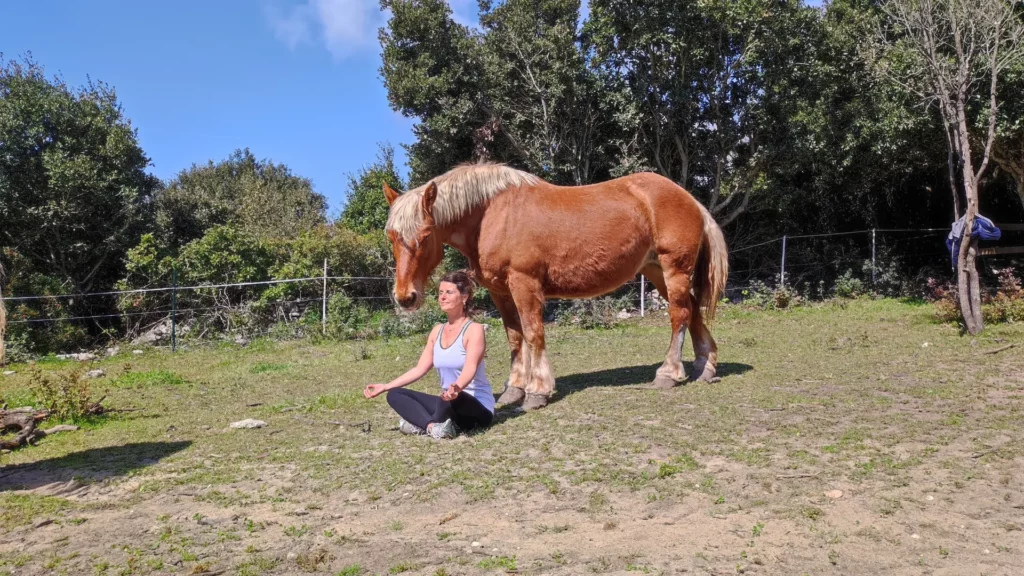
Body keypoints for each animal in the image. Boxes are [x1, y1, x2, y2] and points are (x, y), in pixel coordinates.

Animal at [385, 163, 729, 409]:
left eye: (425, 235)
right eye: (391, 236)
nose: (405, 297)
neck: (492, 214)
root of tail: (689, 199)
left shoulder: (524, 284)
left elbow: (533, 334)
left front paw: (537, 391)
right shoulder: (500, 291)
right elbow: (515, 337)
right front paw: (514, 389)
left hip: (674, 269)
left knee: (679, 315)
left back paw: (668, 373)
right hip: (657, 271)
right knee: (692, 311)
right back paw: (705, 367)